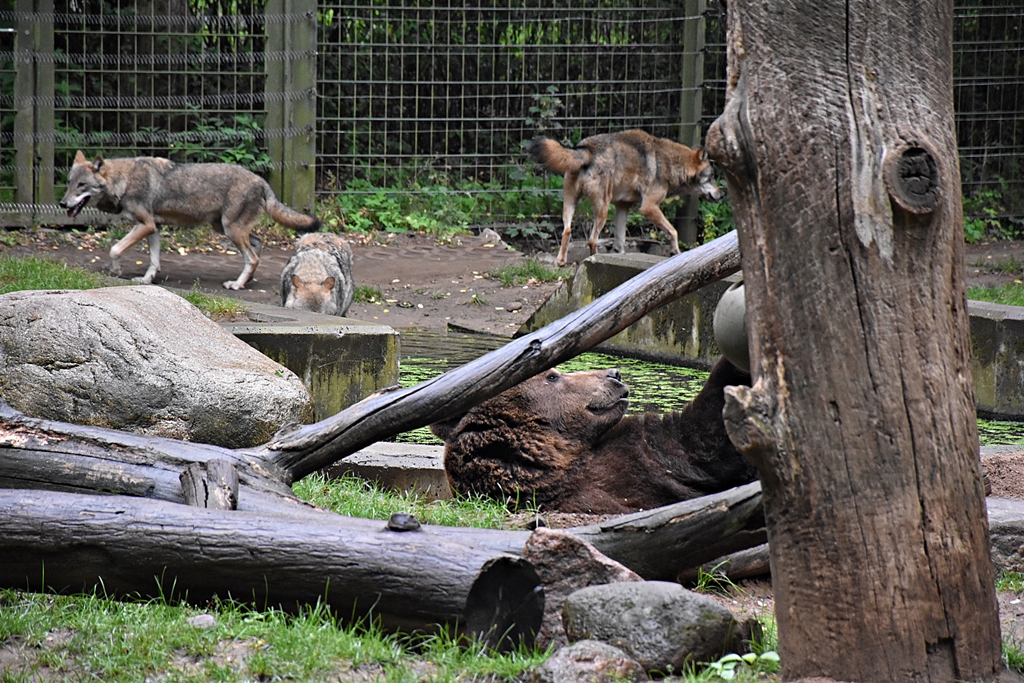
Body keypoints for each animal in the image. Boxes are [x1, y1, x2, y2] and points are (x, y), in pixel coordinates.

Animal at [59, 151, 321, 290]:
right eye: (69, 183)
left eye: (81, 185)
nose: (62, 204)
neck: (123, 181)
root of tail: (262, 181)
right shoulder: (154, 227)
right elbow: (153, 261)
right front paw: (146, 279)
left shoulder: (145, 225)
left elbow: (114, 249)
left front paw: (116, 270)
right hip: (225, 228)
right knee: (256, 246)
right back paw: (246, 280)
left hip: (230, 230)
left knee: (253, 257)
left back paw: (237, 284)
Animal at [526, 129, 723, 267]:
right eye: (712, 176)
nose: (721, 195)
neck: (669, 164)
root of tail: (587, 149)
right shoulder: (649, 207)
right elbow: (673, 231)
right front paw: (676, 251)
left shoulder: (623, 207)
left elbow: (620, 242)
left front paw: (621, 257)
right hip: (603, 210)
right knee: (592, 240)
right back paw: (593, 259)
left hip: (571, 204)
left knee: (566, 231)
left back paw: (561, 262)